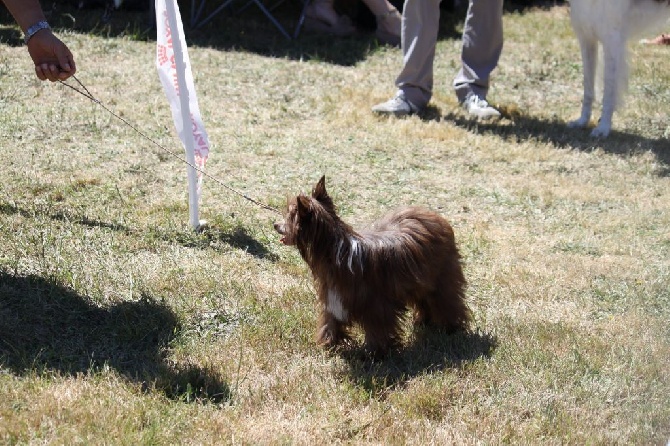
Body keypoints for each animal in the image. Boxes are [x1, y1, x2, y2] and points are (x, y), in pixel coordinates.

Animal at [272, 176, 472, 354]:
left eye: (290, 217)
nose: (275, 224)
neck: (336, 251)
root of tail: (437, 218)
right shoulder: (334, 298)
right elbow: (330, 321)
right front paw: (327, 343)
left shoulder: (376, 304)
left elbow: (378, 329)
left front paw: (374, 354)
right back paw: (424, 321)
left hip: (443, 275)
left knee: (447, 300)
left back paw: (451, 327)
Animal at [568, 0, 670, 137]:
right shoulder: (587, 37)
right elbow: (588, 90)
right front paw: (582, 121)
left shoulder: (612, 40)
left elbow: (608, 93)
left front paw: (603, 128)